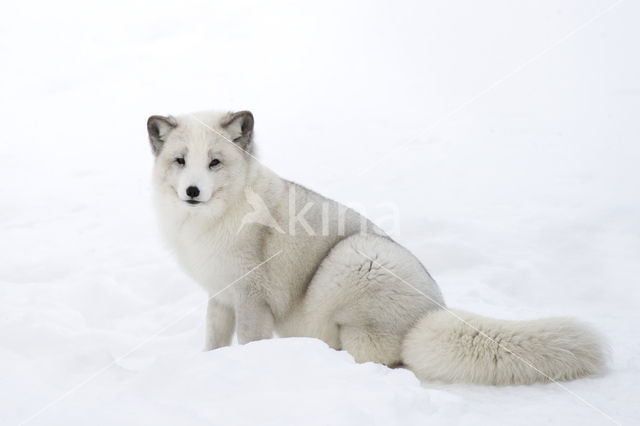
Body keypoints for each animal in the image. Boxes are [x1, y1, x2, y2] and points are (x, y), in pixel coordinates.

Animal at [148, 110, 608, 386]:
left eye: (215, 162)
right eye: (180, 160)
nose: (192, 191)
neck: (212, 222)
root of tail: (433, 311)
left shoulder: (252, 297)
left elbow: (248, 341)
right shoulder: (220, 295)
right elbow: (214, 340)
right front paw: (208, 365)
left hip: (351, 260)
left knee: (383, 358)